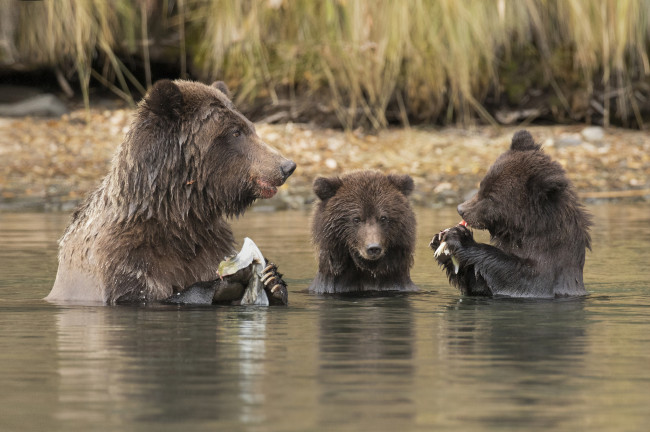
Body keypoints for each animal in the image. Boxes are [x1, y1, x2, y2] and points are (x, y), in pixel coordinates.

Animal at [46, 79, 294, 306]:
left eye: (251, 127)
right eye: (235, 132)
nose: (286, 166)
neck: (177, 214)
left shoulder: (209, 244)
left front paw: (272, 279)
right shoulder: (121, 259)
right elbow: (143, 295)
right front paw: (227, 280)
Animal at [428, 129, 588, 296]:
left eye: (491, 197)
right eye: (482, 186)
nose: (461, 209)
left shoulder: (547, 269)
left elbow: (518, 276)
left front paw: (460, 237)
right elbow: (477, 283)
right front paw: (440, 242)